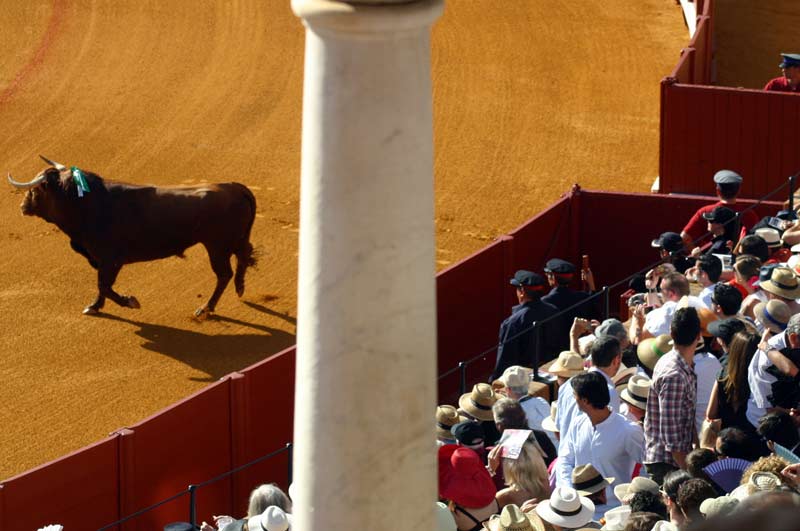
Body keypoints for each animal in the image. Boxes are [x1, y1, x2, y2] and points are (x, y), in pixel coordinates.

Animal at [9, 154, 260, 320]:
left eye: (34, 190)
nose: (22, 206)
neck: (85, 204)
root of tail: (235, 188)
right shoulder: (103, 261)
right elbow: (102, 286)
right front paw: (94, 306)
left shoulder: (110, 260)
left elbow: (104, 285)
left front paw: (129, 301)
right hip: (233, 241)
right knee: (244, 256)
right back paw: (239, 288)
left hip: (217, 247)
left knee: (224, 273)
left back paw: (205, 309)